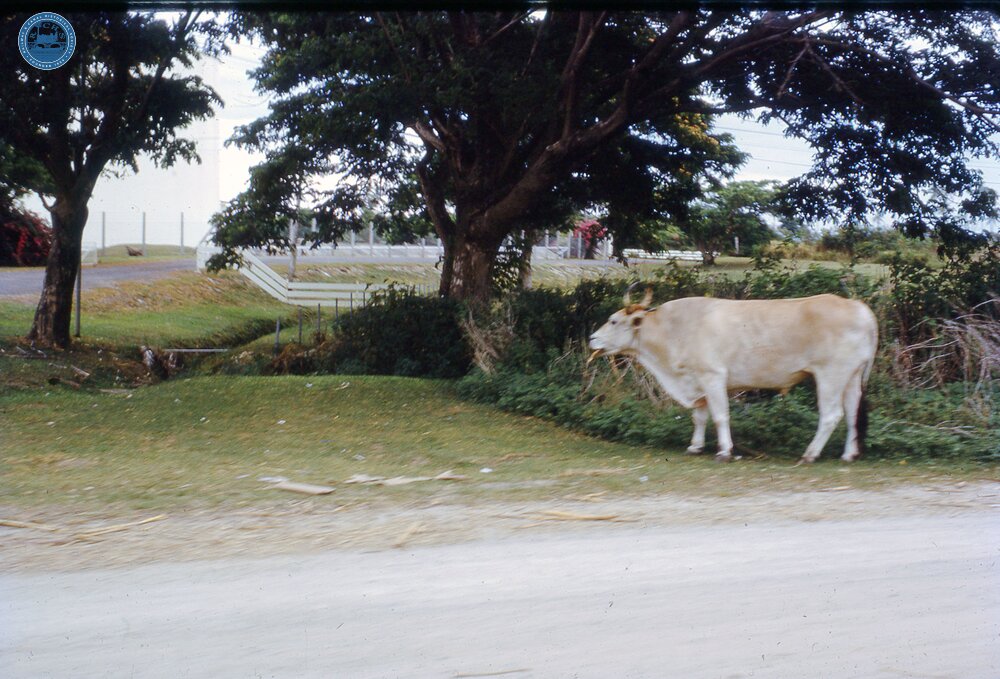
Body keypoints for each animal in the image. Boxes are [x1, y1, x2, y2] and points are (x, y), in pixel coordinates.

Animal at [587, 286, 878, 463]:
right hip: (852, 376)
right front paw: (695, 447)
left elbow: (719, 416)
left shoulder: (713, 376)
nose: (592, 338)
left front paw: (725, 451)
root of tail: (857, 306)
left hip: (831, 375)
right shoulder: (698, 382)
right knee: (852, 413)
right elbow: (699, 417)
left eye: (613, 320)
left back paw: (810, 454)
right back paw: (849, 454)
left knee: (832, 415)